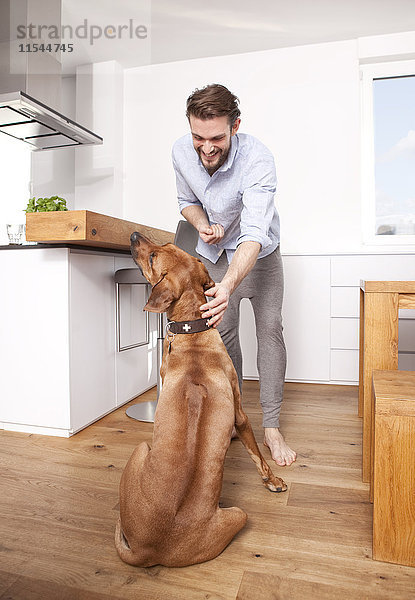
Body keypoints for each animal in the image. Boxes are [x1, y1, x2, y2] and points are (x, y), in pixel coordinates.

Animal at [115, 232, 288, 564]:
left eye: (156, 254)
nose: (133, 234)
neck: (192, 333)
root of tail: (149, 549)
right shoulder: (240, 415)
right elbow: (257, 454)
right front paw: (273, 480)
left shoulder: (240, 415)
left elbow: (257, 454)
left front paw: (272, 480)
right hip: (236, 513)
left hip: (143, 451)